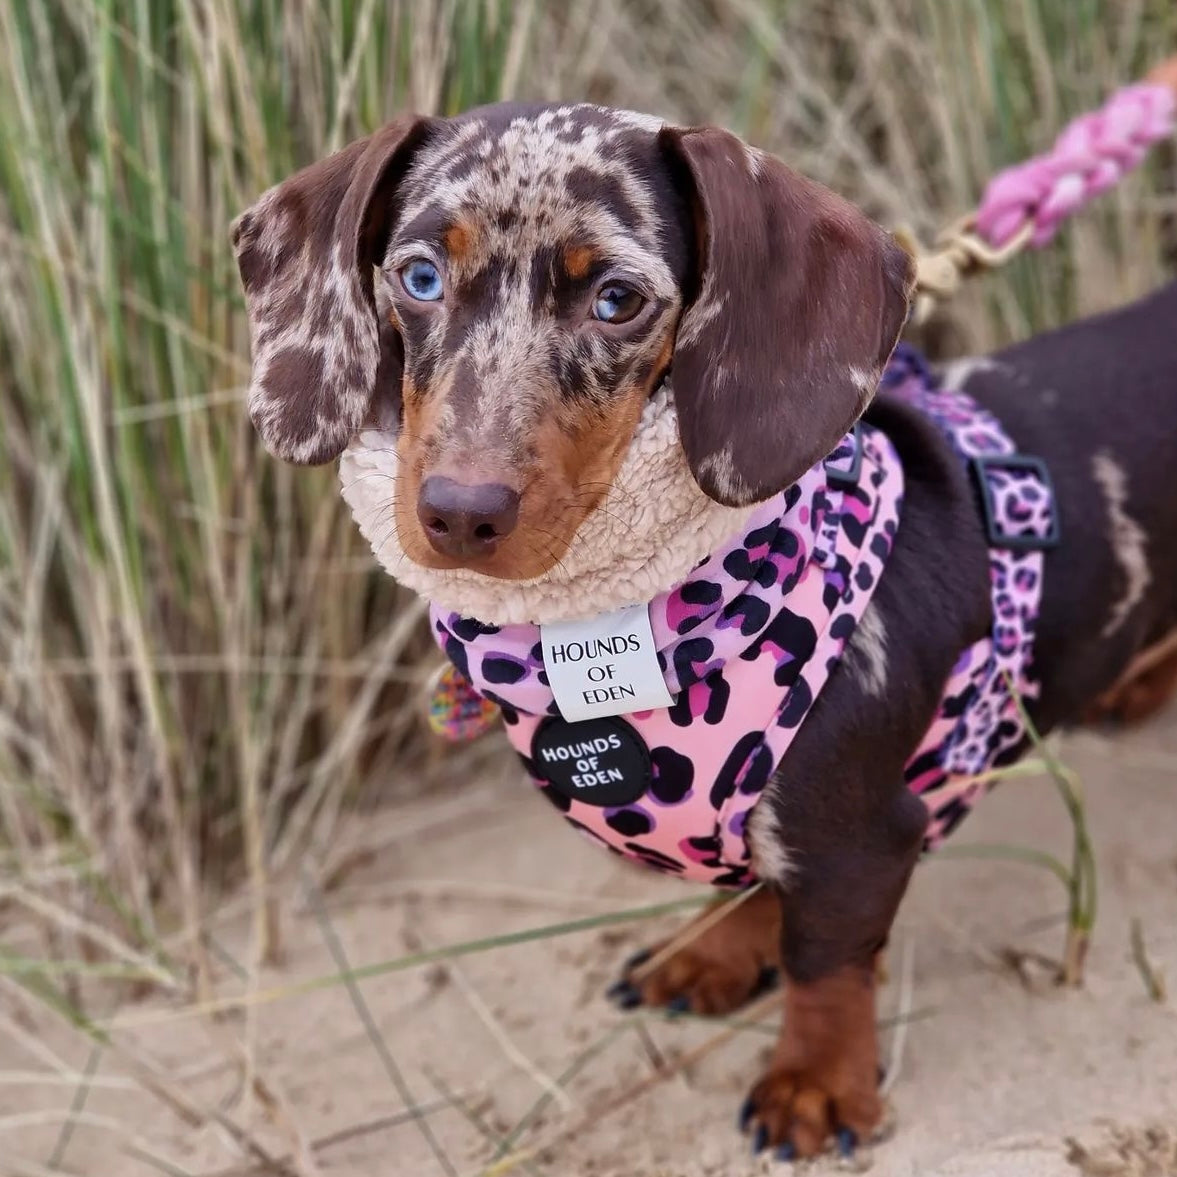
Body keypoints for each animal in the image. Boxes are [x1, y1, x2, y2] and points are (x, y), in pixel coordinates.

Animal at [229, 105, 1177, 1162]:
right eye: (419, 277)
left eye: (617, 298)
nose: (458, 514)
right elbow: (746, 886)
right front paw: (718, 953)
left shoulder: (859, 838)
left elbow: (822, 962)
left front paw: (814, 1085)